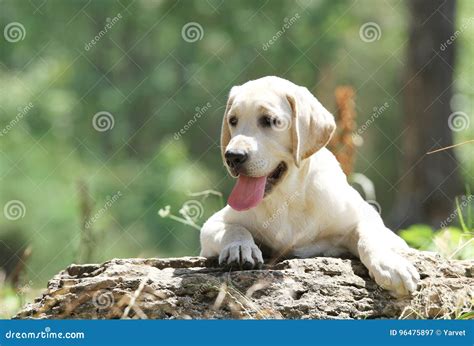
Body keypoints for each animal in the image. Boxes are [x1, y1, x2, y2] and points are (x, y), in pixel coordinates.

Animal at [200, 76, 418, 298]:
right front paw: (240, 248)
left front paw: (390, 265)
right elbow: (234, 228)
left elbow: (370, 235)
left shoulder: (368, 218)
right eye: (232, 121)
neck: (288, 199)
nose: (232, 156)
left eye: (269, 120)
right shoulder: (213, 223)